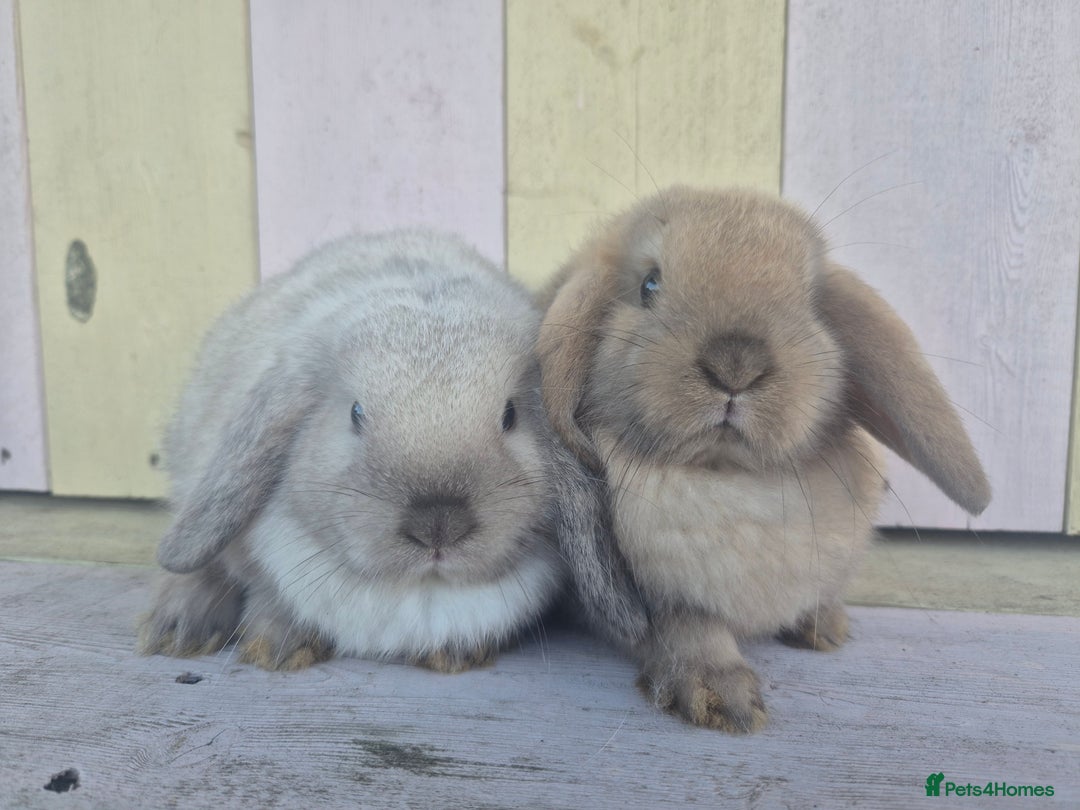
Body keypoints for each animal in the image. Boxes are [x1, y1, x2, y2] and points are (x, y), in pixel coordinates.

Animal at [138, 229, 610, 673]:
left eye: (510, 415)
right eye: (356, 413)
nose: (438, 525)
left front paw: (455, 655)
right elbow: (264, 590)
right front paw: (278, 649)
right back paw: (178, 630)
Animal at [537, 186, 991, 731]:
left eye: (811, 302)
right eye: (649, 285)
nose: (736, 364)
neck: (732, 478)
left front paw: (825, 627)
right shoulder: (667, 601)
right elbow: (690, 631)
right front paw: (722, 698)